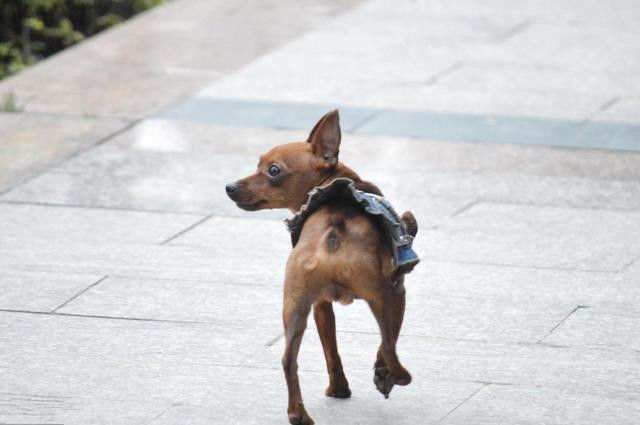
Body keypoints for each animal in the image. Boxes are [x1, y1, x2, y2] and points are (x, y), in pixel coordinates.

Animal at [228, 110, 418, 424]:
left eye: (272, 170)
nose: (230, 187)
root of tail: (334, 231)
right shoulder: (400, 287)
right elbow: (383, 342)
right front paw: (375, 377)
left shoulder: (320, 306)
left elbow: (331, 351)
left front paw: (338, 388)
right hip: (387, 293)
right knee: (389, 345)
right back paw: (394, 376)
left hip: (295, 305)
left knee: (288, 360)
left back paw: (299, 415)